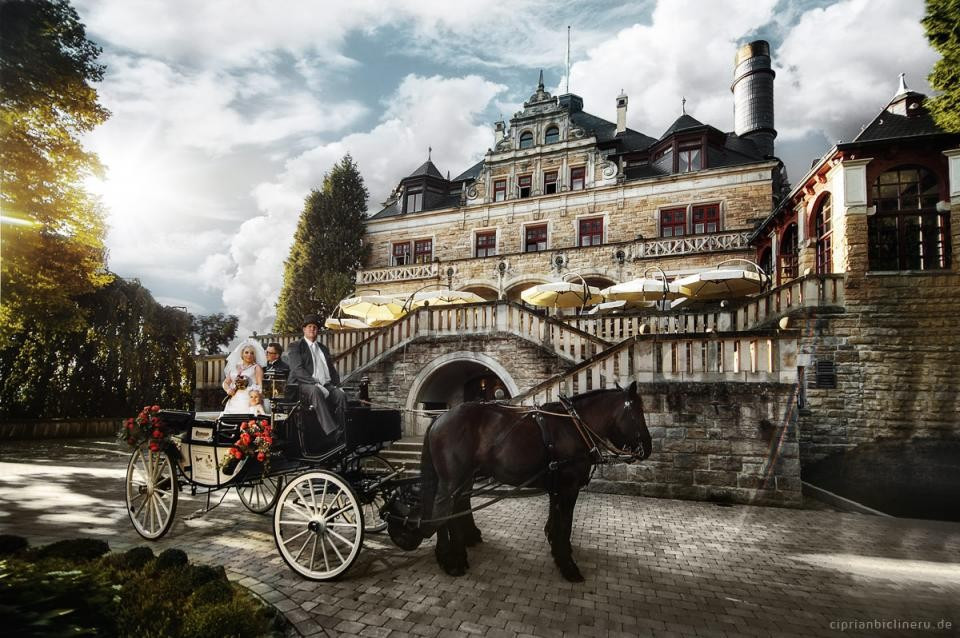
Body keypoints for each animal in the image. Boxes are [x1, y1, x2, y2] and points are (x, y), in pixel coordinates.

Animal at [388, 382, 652, 584]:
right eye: (638, 413)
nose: (648, 448)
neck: (574, 426)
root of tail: (439, 418)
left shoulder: (557, 486)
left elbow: (556, 521)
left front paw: (557, 548)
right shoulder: (568, 487)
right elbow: (565, 524)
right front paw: (567, 564)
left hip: (463, 477)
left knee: (455, 507)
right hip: (452, 479)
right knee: (444, 512)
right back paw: (453, 559)